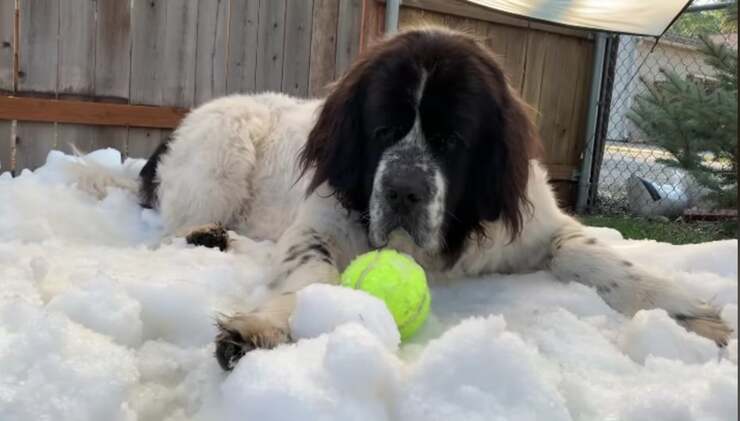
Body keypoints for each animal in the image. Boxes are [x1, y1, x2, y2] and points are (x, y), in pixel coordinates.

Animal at [91, 27, 728, 370]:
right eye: (381, 131)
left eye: (452, 139)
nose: (403, 189)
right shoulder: (322, 221)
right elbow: (312, 272)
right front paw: (270, 324)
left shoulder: (537, 227)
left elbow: (597, 257)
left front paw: (688, 311)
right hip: (226, 146)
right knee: (178, 229)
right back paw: (209, 236)